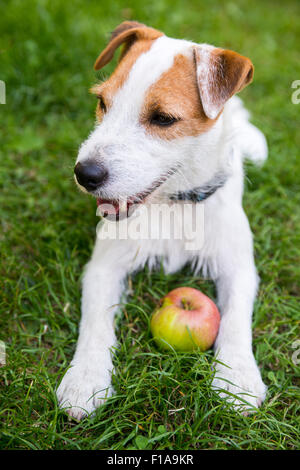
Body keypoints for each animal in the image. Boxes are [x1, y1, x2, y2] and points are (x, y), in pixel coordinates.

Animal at [56, 22, 268, 420]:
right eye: (103, 103)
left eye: (163, 119)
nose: (84, 174)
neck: (174, 204)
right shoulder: (104, 267)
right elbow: (95, 322)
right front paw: (85, 380)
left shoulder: (238, 267)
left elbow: (236, 319)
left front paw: (237, 378)